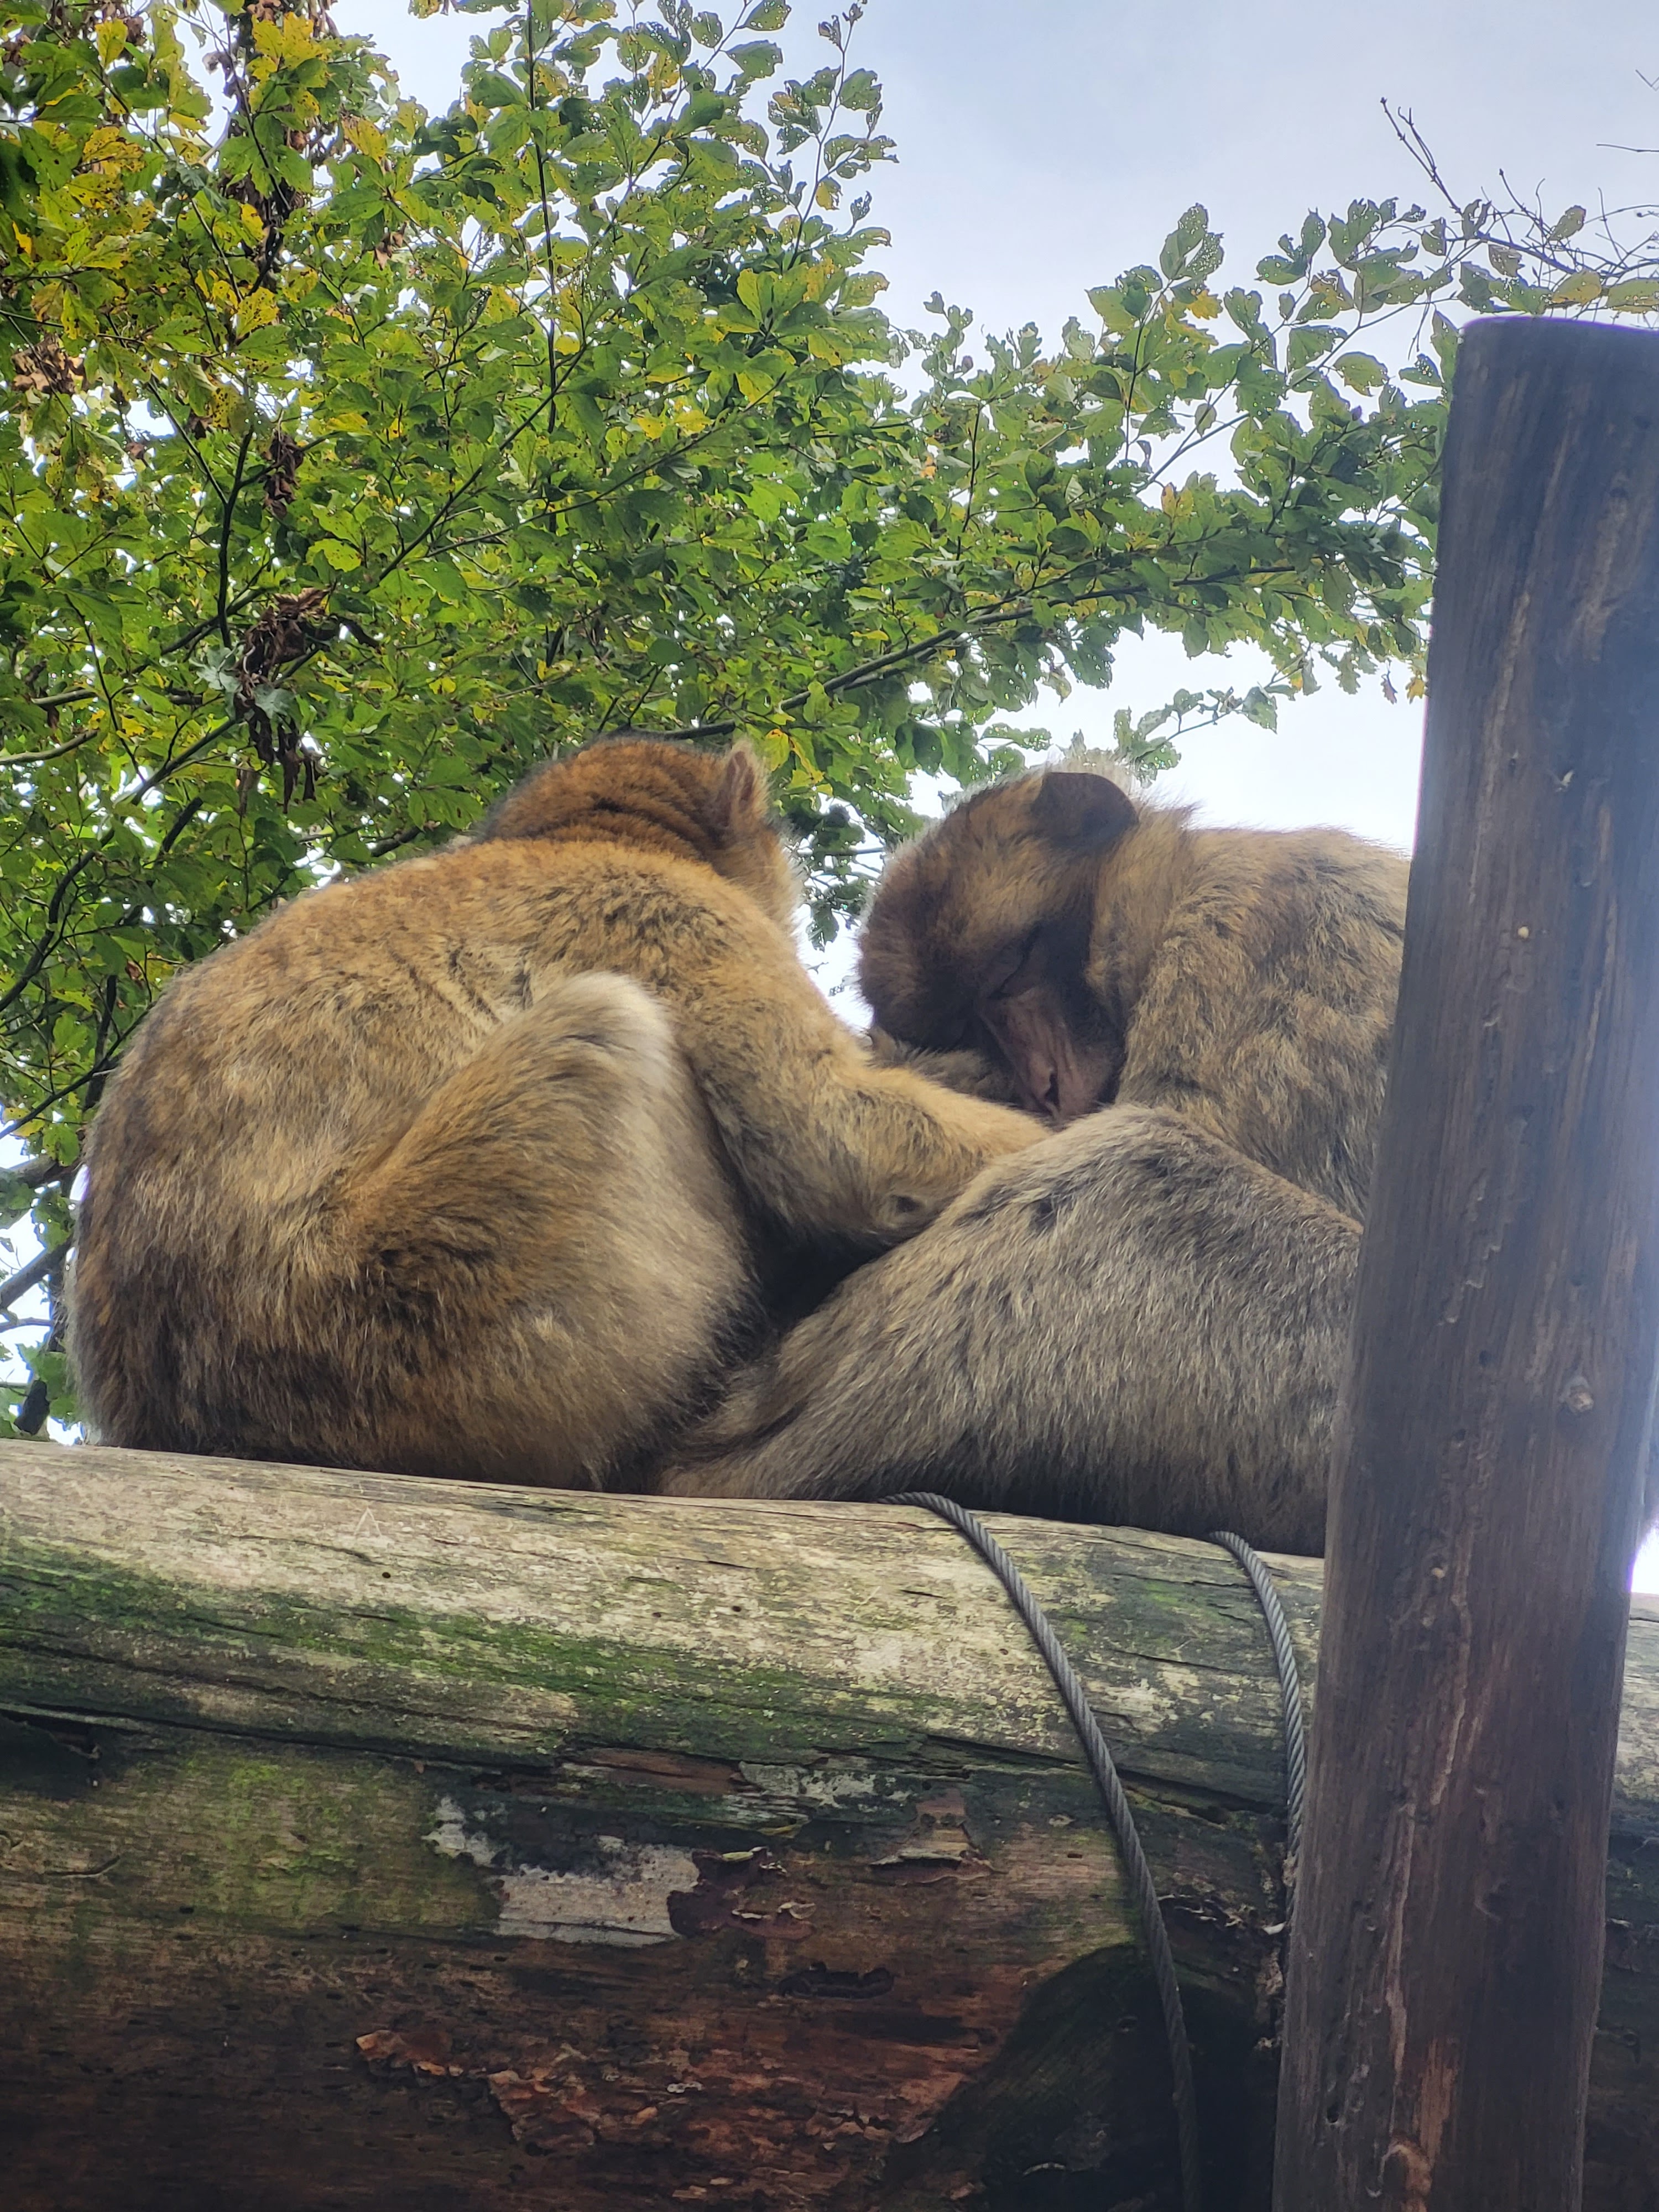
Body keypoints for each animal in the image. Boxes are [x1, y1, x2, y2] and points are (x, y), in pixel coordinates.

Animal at [69, 738, 1041, 1489]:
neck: (591, 836)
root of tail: (196, 1430)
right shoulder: (679, 918)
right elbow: (835, 1142)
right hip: (418, 1337)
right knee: (604, 1031)